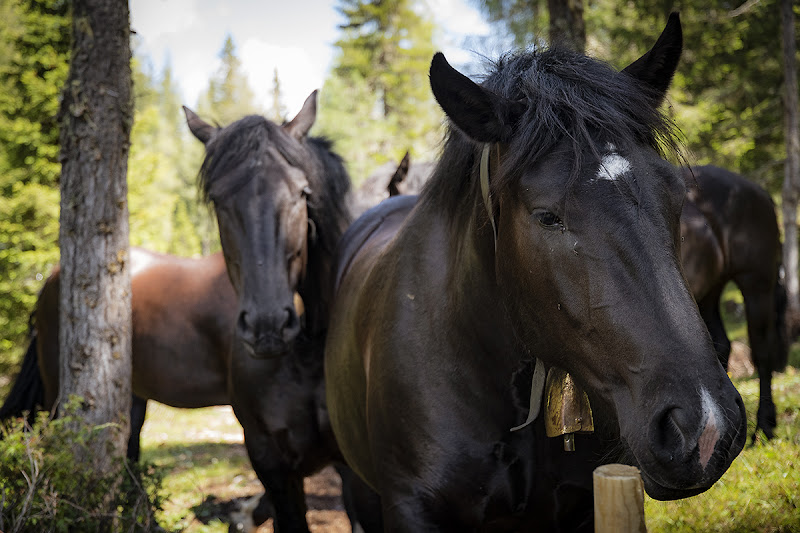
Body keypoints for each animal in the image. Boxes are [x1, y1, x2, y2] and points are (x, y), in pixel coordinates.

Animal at [680, 164, 788, 438]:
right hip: (710, 290)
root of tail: (757, 190)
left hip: (756, 284)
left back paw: (764, 425)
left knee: (762, 352)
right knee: (721, 344)